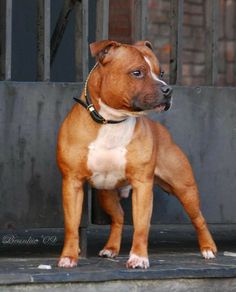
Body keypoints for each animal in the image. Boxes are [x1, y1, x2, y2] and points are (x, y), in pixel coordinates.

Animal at [56, 40, 217, 268]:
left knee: (198, 218)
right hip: (106, 193)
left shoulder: (143, 186)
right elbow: (71, 225)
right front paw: (69, 257)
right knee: (119, 216)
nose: (168, 90)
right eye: (137, 72)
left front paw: (139, 258)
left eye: (161, 72)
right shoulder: (72, 183)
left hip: (185, 188)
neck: (112, 121)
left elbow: (141, 226)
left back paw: (208, 248)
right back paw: (111, 248)